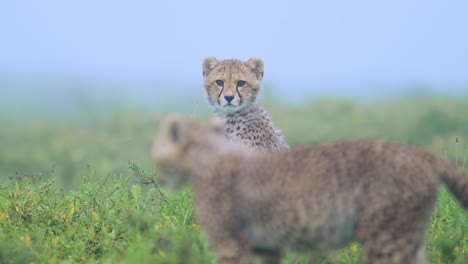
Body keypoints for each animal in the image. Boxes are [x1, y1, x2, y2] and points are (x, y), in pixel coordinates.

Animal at [154, 115, 468, 264]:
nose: (159, 175)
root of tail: (420, 154)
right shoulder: (265, 245)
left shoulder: (232, 242)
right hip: (407, 235)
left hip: (385, 237)